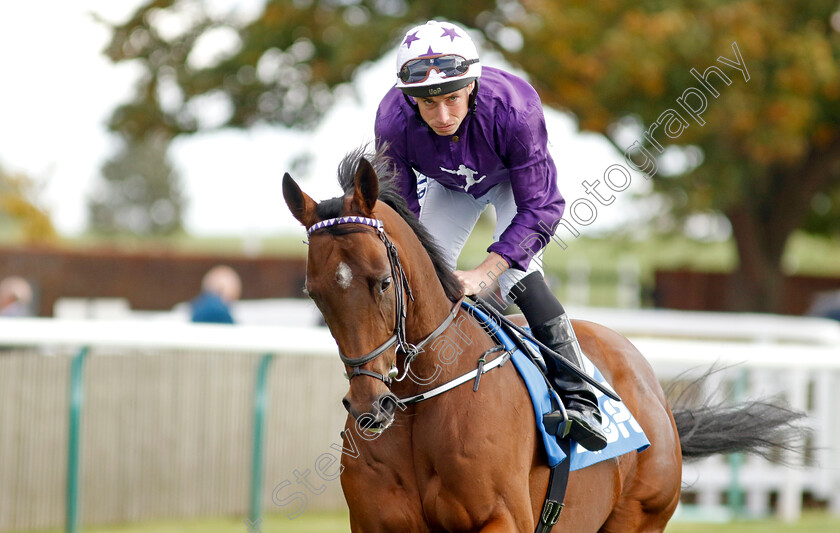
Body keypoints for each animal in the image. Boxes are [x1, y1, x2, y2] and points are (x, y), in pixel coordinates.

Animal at [284, 151, 808, 532]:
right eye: (315, 292)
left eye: (383, 282)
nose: (371, 406)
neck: (420, 402)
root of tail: (653, 390)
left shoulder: (500, 519)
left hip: (639, 517)